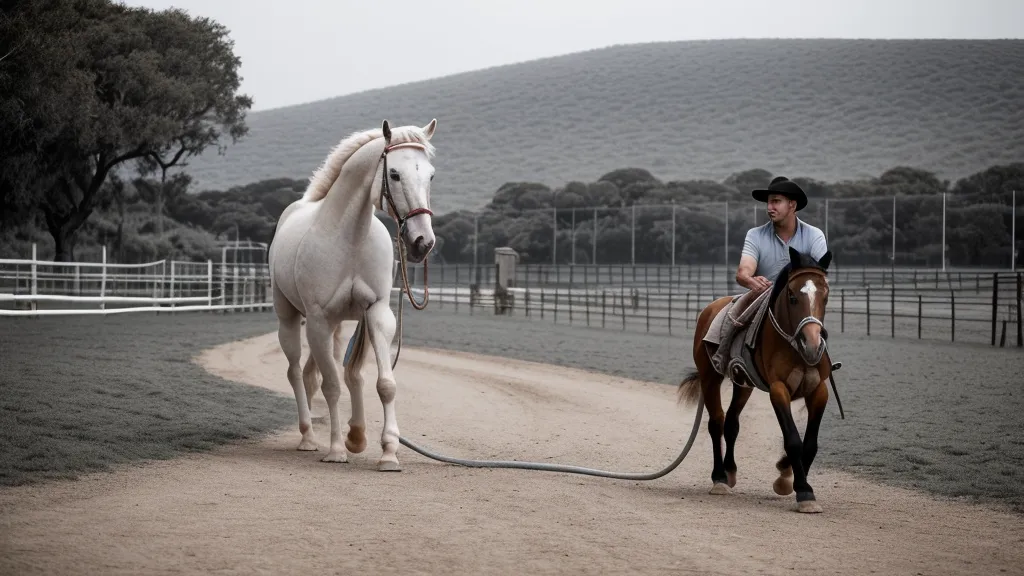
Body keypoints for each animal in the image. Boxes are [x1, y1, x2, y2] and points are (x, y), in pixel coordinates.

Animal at [268, 118, 438, 472]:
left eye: (430, 175)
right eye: (394, 174)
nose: (422, 242)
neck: (349, 238)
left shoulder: (376, 313)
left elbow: (383, 383)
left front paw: (387, 452)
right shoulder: (318, 320)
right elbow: (331, 386)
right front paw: (336, 450)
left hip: (342, 324)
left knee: (341, 375)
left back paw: (355, 435)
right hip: (290, 319)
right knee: (297, 373)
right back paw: (308, 437)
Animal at [677, 246, 834, 513]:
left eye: (825, 296)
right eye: (792, 296)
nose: (812, 344)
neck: (794, 347)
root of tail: (711, 308)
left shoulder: (818, 391)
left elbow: (810, 443)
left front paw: (788, 476)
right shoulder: (778, 390)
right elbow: (793, 440)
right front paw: (803, 491)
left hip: (744, 385)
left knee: (731, 423)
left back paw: (730, 471)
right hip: (710, 378)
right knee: (716, 422)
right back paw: (719, 478)